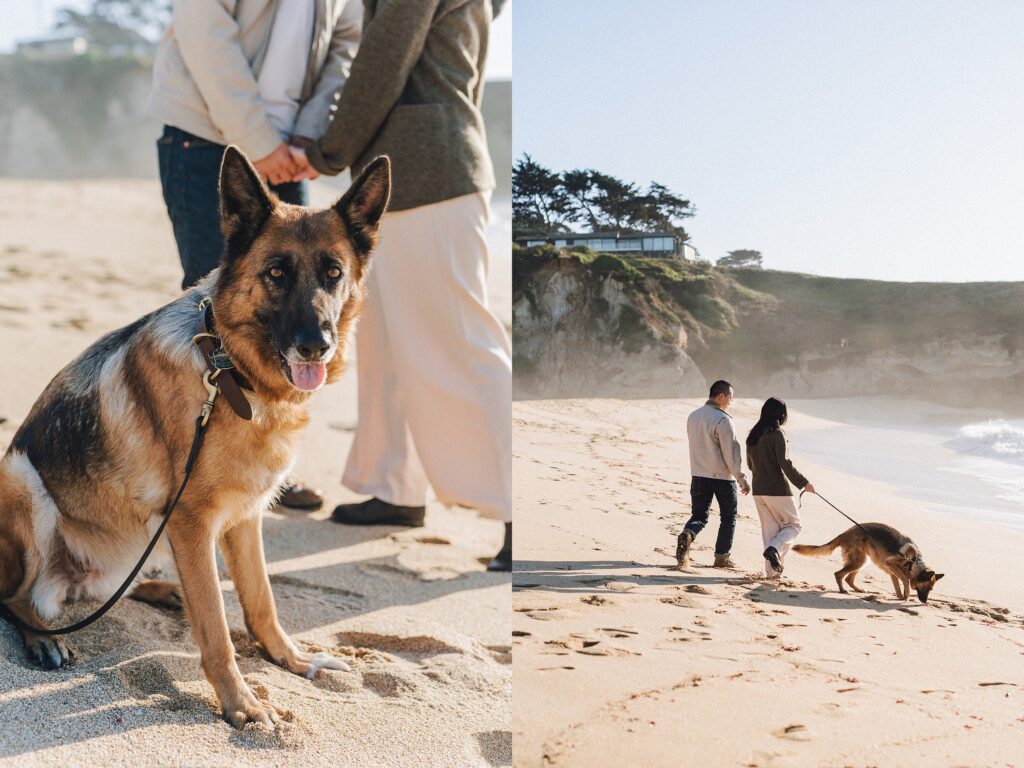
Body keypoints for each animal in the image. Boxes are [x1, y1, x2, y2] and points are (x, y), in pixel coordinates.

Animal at [0, 147, 391, 729]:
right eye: (277, 272)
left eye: (334, 273)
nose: (316, 345)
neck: (230, 372)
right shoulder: (191, 520)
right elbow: (214, 624)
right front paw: (240, 703)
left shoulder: (245, 517)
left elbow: (261, 600)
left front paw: (291, 659)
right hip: (21, 478)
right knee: (14, 596)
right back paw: (42, 635)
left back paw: (161, 589)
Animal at [790, 528, 942, 606]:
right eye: (926, 588)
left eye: (931, 589)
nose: (925, 602)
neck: (914, 561)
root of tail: (845, 533)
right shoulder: (892, 565)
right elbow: (904, 579)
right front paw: (906, 595)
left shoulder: (892, 573)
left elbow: (897, 584)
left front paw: (900, 596)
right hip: (860, 561)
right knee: (838, 574)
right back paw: (842, 591)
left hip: (862, 561)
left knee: (848, 578)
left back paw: (858, 590)